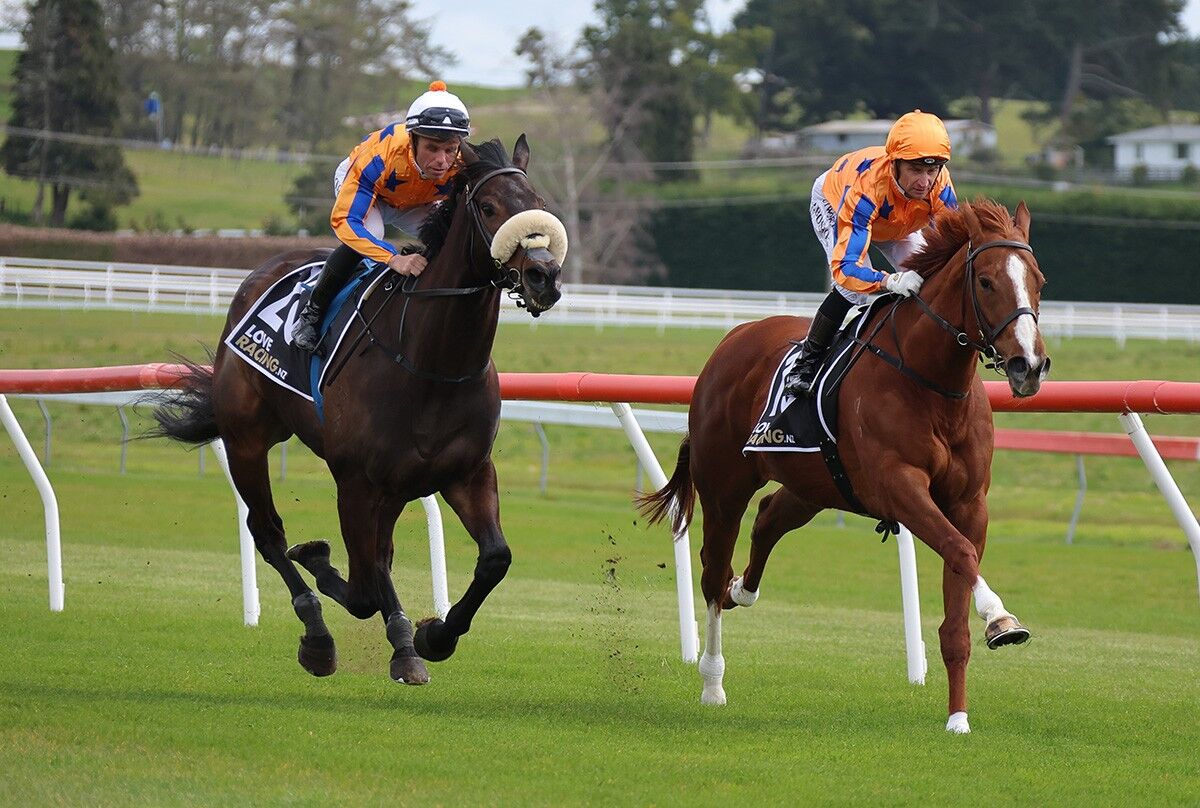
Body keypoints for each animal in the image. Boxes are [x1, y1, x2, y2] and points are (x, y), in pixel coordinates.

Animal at [153, 136, 565, 684]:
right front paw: (392, 631)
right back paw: (317, 634)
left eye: (536, 201)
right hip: (247, 440)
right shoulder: (355, 481)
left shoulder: (467, 472)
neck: (430, 363)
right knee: (268, 533)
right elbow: (365, 586)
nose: (544, 276)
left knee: (372, 554)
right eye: (488, 207)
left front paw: (435, 636)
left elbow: (494, 558)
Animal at [639, 199, 1050, 733]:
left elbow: (957, 598)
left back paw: (740, 591)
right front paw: (1000, 617)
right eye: (985, 282)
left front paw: (958, 717)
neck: (932, 384)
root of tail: (731, 341)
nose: (1029, 366)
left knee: (767, 521)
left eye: (1039, 280)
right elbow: (959, 551)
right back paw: (712, 682)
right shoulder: (899, 486)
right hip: (724, 485)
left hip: (813, 486)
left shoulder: (968, 502)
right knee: (712, 573)